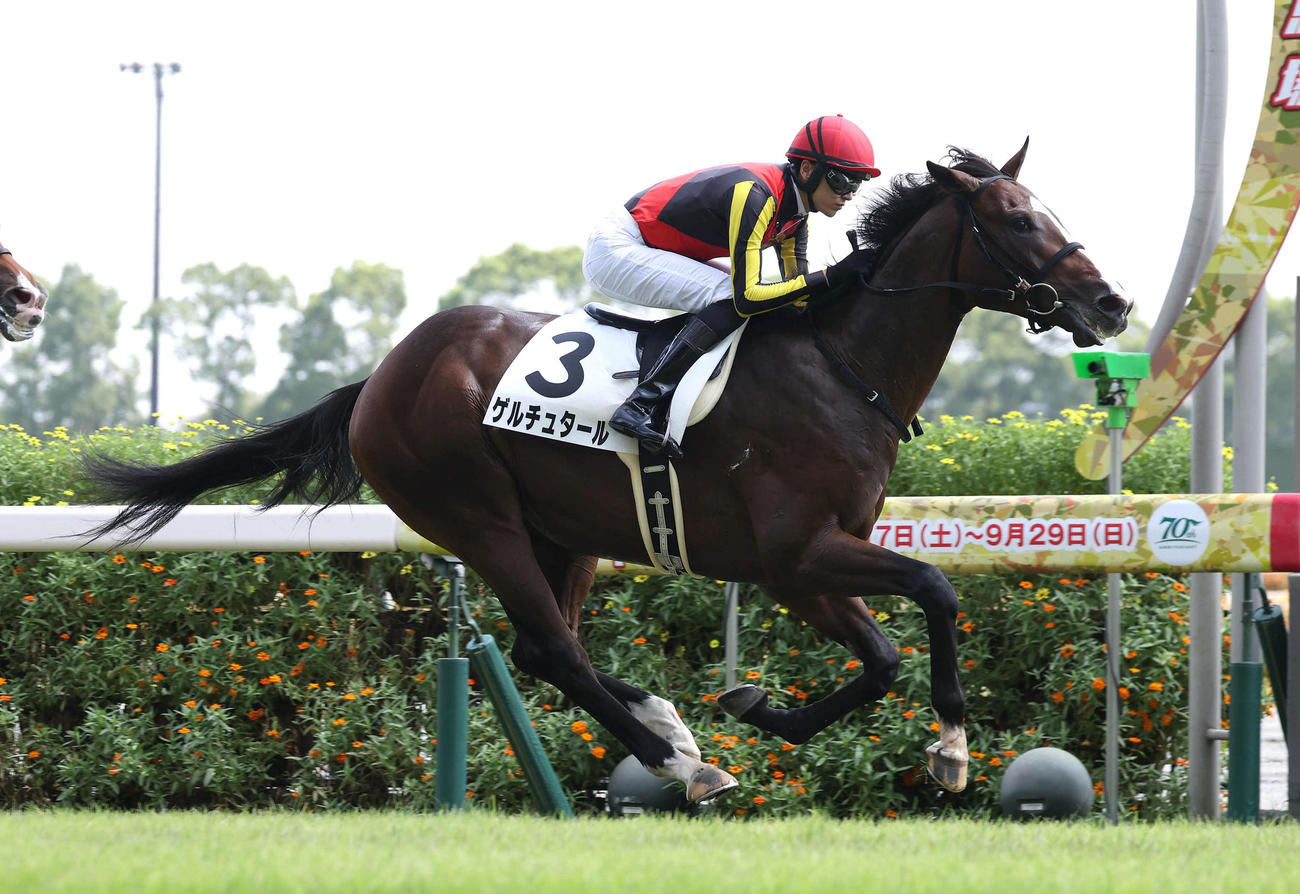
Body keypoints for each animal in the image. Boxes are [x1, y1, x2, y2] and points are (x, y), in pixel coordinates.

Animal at [82, 140, 1131, 805]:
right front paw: (947, 746)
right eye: (1019, 220)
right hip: (478, 516)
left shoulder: (807, 564)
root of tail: (380, 375)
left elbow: (886, 651)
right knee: (553, 650)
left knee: (556, 648)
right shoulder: (796, 556)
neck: (844, 367)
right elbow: (930, 597)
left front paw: (760, 706)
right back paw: (680, 762)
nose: (1112, 303)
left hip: (567, 531)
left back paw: (671, 727)